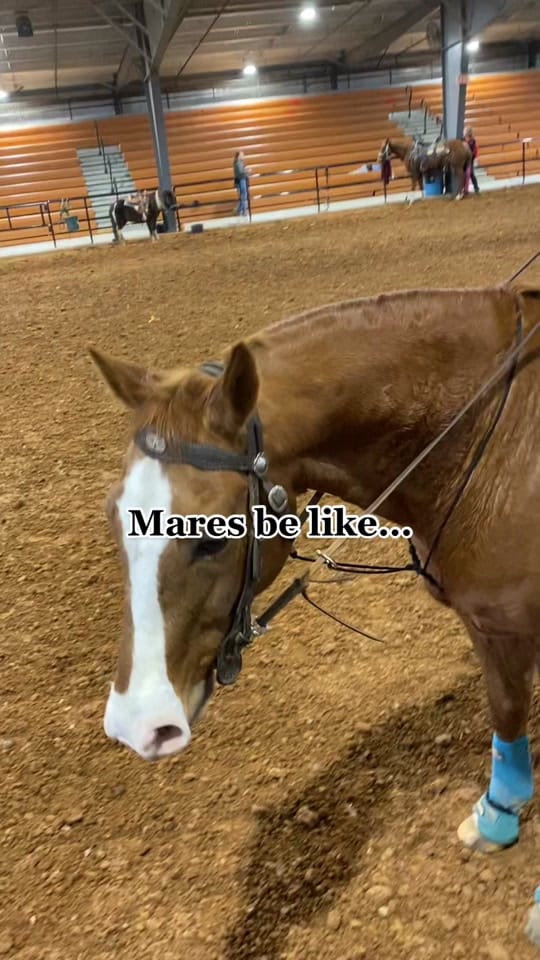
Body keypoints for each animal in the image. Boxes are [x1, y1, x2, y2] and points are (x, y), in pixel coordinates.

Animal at [89, 284, 540, 948]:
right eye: (116, 516)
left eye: (212, 537)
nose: (136, 724)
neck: (495, 436)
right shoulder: (492, 623)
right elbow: (506, 712)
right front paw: (496, 820)